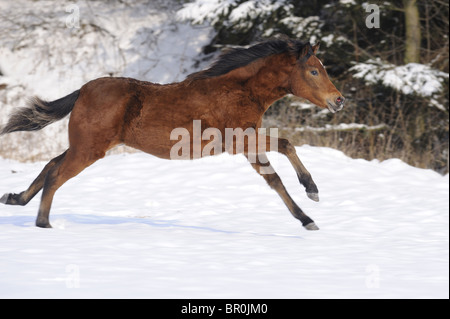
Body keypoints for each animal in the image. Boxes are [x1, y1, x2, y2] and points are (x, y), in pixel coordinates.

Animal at [0, 38, 344, 230]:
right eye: (314, 70)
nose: (338, 100)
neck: (239, 90)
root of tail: (83, 90)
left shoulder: (247, 143)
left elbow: (277, 170)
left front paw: (309, 209)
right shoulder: (239, 141)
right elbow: (283, 154)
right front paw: (311, 199)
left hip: (85, 145)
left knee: (50, 165)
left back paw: (15, 198)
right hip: (89, 149)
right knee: (56, 174)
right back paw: (43, 223)